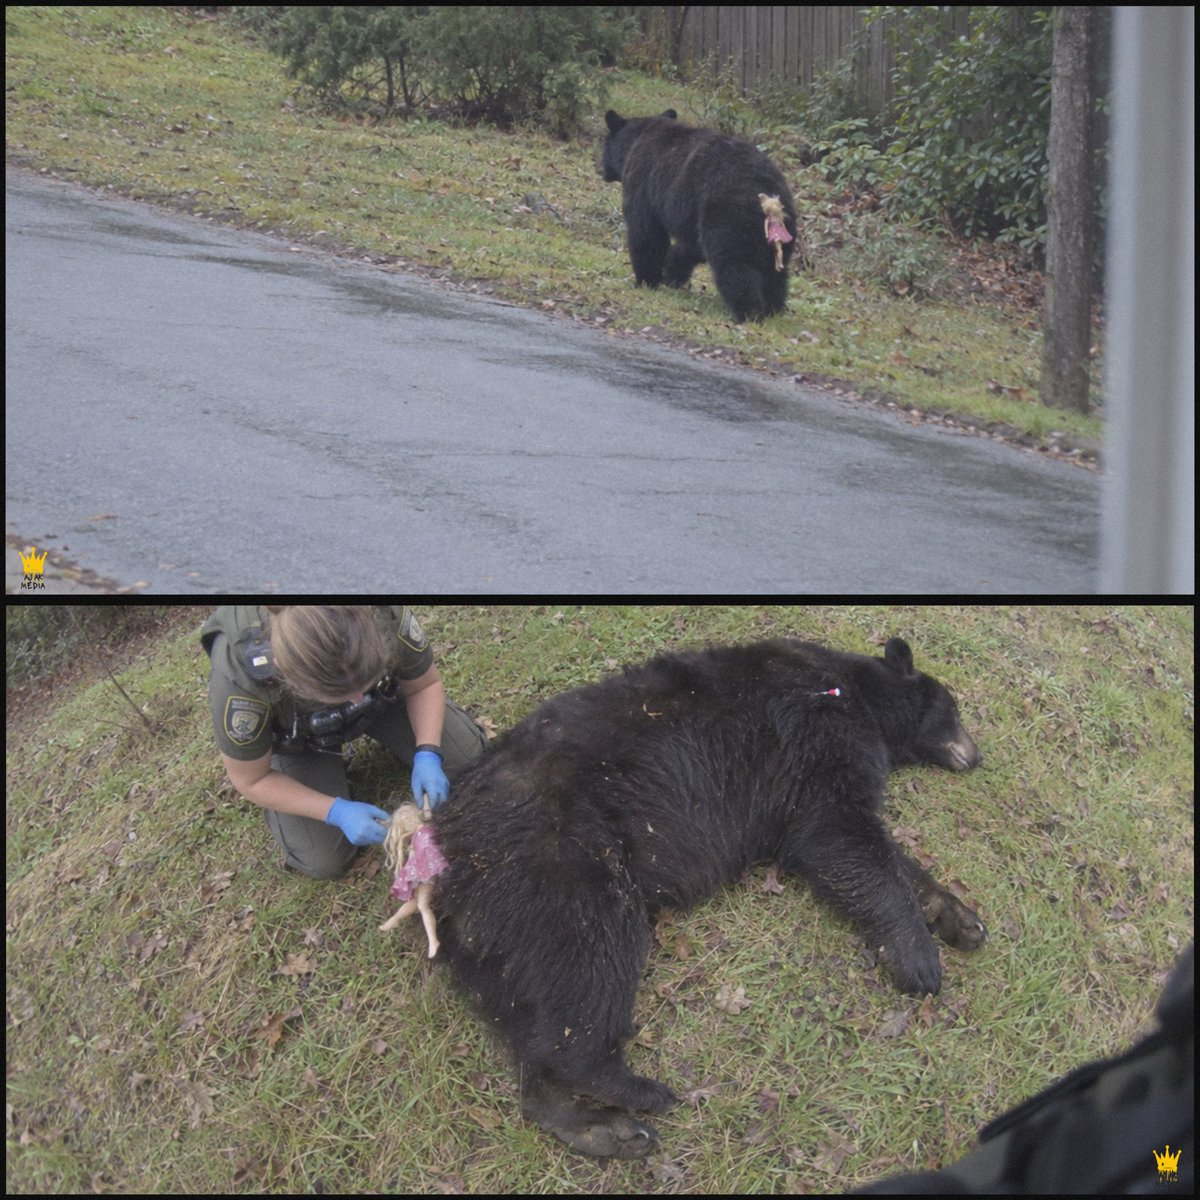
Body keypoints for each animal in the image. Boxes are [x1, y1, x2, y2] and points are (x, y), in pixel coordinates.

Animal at [431, 637, 986, 1158]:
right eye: (955, 708)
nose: (977, 756)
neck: (853, 689)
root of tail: (443, 860)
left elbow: (880, 852)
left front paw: (959, 918)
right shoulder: (814, 733)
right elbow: (835, 830)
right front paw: (919, 960)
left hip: (500, 939)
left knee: (533, 1022)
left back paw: (601, 1129)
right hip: (563, 858)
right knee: (588, 966)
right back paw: (635, 1089)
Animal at [600, 109, 798, 322]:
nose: (600, 168)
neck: (636, 140)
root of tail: (769, 199)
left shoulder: (644, 181)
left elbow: (646, 232)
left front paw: (646, 280)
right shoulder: (691, 212)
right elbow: (690, 245)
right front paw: (671, 273)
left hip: (727, 216)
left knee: (734, 265)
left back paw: (747, 311)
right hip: (781, 228)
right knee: (774, 272)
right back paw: (773, 308)